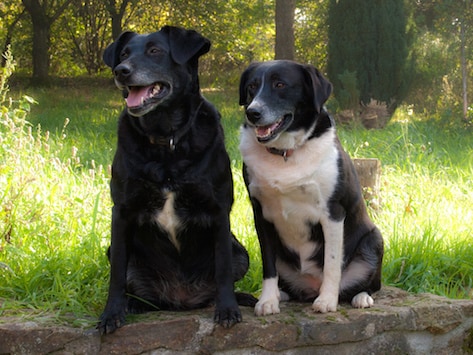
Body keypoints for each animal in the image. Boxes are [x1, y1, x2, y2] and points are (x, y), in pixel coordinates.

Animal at [96, 26, 256, 336]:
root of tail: (182, 300)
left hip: (240, 251)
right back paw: (134, 304)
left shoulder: (218, 211)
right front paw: (111, 313)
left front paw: (228, 309)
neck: (166, 138)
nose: (121, 71)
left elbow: (222, 271)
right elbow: (116, 276)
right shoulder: (121, 212)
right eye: (123, 54)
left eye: (155, 51)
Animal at [240, 61, 384, 318]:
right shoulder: (261, 215)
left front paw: (327, 300)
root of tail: (310, 287)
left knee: (367, 284)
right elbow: (269, 266)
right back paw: (282, 294)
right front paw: (268, 300)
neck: (286, 153)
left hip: (374, 240)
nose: (253, 113)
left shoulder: (333, 214)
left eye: (280, 84)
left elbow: (332, 263)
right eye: (251, 87)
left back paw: (361, 297)